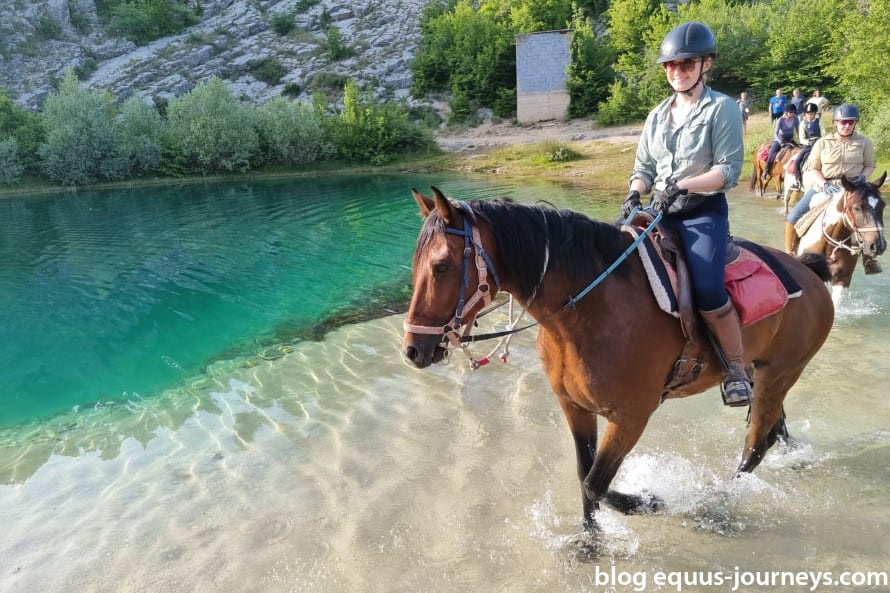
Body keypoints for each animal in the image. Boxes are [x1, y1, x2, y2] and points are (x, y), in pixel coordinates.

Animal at [402, 185, 832, 528]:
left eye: (441, 266)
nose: (413, 349)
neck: (591, 306)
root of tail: (808, 273)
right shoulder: (574, 406)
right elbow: (584, 475)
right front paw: (589, 542)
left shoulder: (630, 417)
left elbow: (597, 482)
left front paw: (649, 501)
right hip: (763, 373)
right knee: (773, 429)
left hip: (780, 373)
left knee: (755, 446)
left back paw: (717, 503)